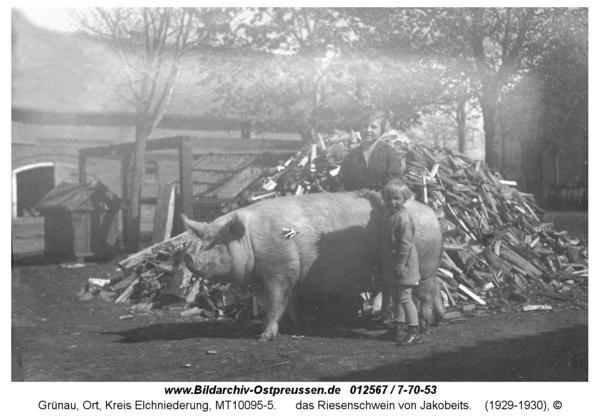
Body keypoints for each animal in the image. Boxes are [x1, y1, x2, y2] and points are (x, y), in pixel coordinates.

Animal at [183, 190, 446, 342]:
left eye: (219, 243)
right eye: (203, 241)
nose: (189, 258)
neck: (252, 242)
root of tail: (433, 215)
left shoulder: (280, 271)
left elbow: (274, 305)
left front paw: (263, 337)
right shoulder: (291, 276)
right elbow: (289, 304)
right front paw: (299, 325)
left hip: (421, 269)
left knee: (424, 295)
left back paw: (423, 327)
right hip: (427, 271)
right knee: (435, 288)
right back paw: (435, 321)